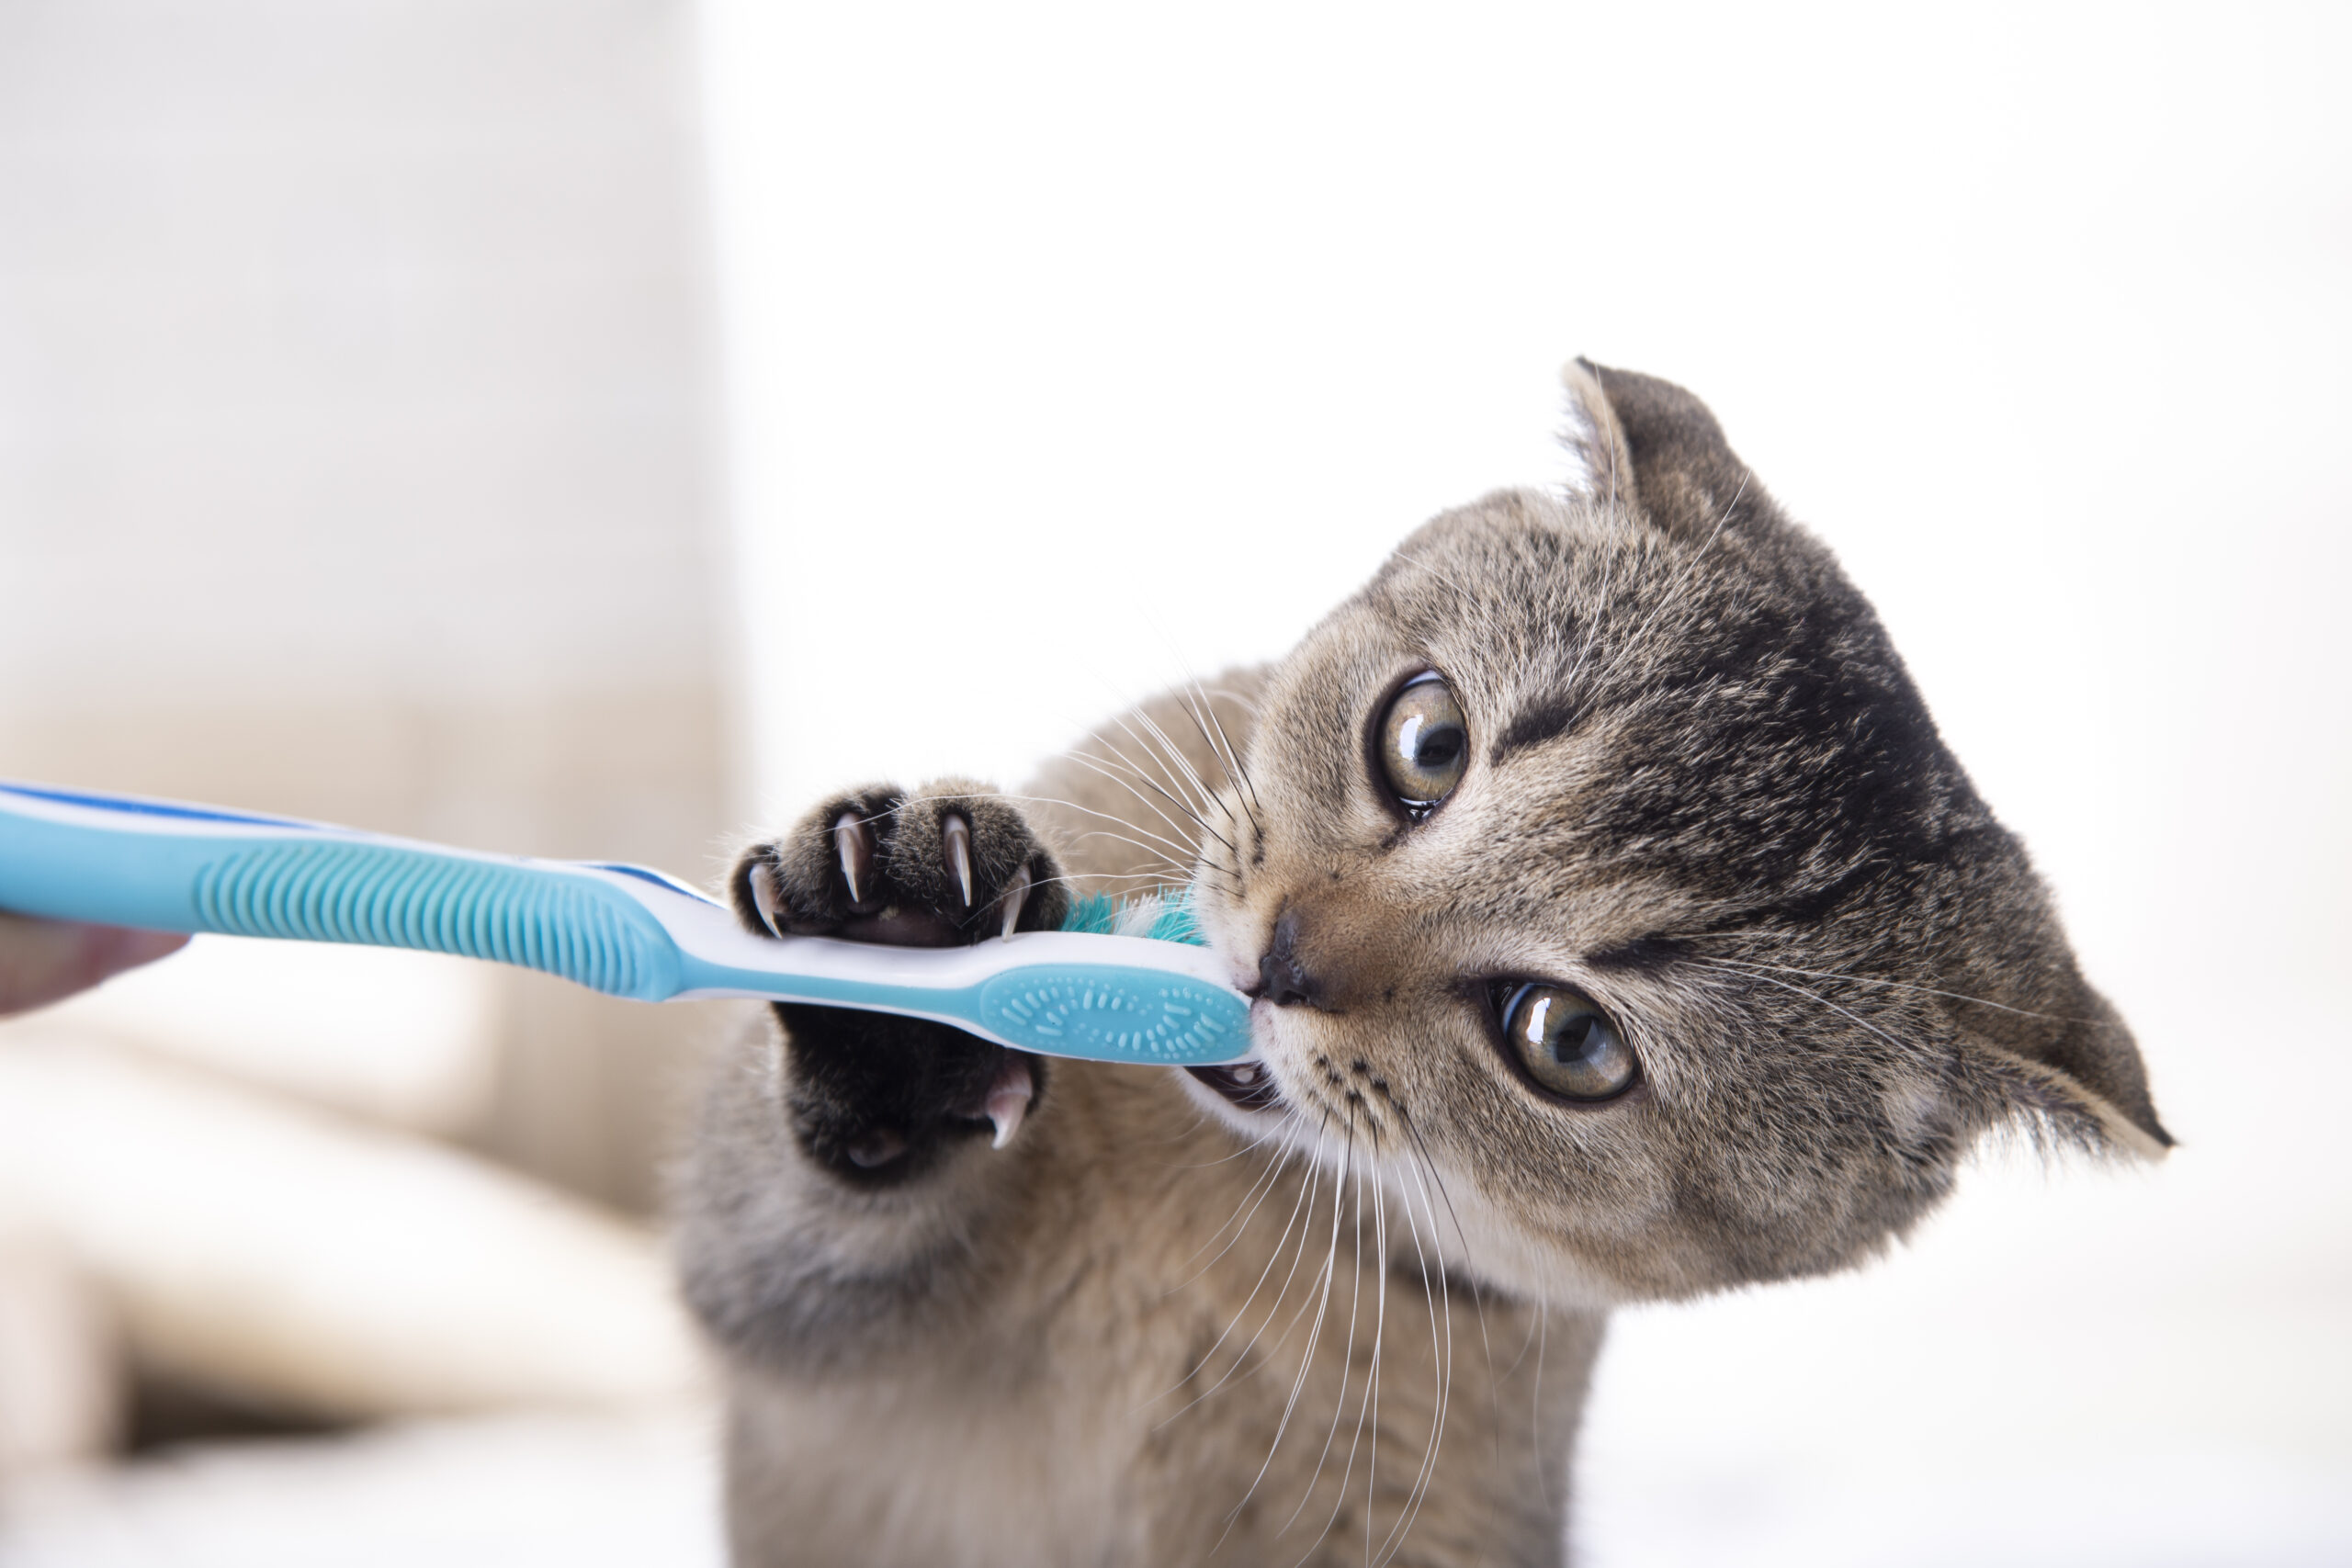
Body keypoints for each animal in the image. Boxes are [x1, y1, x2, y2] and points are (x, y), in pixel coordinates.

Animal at [673, 364, 2154, 1568]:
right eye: (1427, 740)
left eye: (1568, 1039)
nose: (1280, 961)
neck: (1228, 1213)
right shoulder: (788, 1335)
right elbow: (784, 1224)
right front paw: (900, 962)